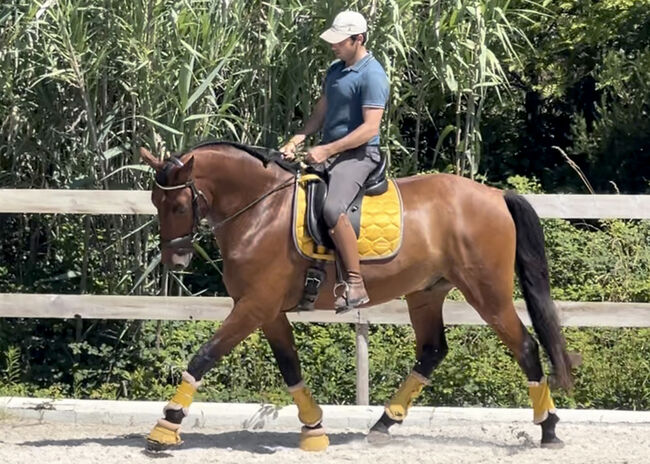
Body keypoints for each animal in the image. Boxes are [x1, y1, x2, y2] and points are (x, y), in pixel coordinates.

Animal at [138, 142, 572, 454]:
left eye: (179, 204)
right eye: (155, 202)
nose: (175, 259)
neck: (261, 210)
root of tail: (495, 195)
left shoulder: (253, 306)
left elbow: (205, 355)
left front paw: (166, 426)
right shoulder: (268, 310)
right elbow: (290, 366)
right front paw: (314, 429)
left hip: (487, 292)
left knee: (525, 346)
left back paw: (549, 429)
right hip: (425, 293)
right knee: (432, 351)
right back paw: (383, 423)